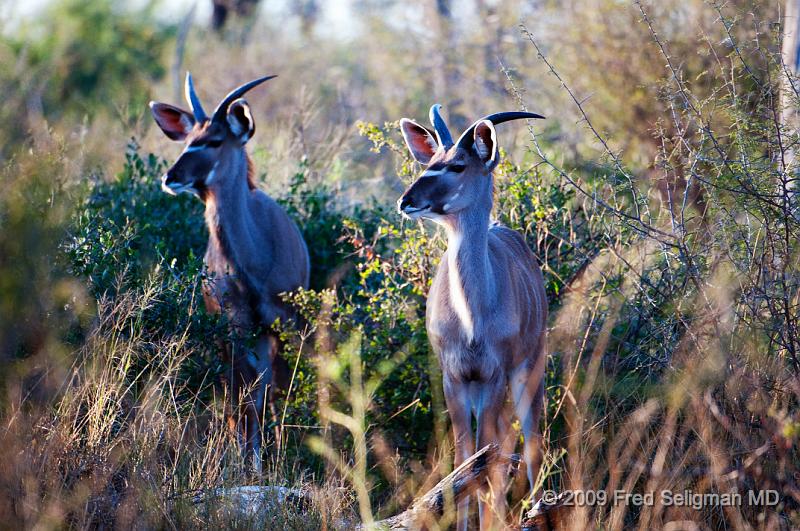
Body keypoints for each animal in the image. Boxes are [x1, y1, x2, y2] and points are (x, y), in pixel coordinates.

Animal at [150, 71, 310, 474]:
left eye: (215, 140)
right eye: (187, 140)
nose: (171, 177)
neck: (252, 267)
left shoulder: (282, 324)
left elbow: (271, 387)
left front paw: (266, 458)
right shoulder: (236, 326)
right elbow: (246, 393)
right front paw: (249, 460)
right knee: (238, 390)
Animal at [396, 106, 548, 528]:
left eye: (458, 165)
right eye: (429, 161)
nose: (406, 201)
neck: (471, 323)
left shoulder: (493, 375)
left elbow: (486, 463)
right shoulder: (455, 377)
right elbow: (465, 461)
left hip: (528, 371)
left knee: (532, 444)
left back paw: (538, 512)